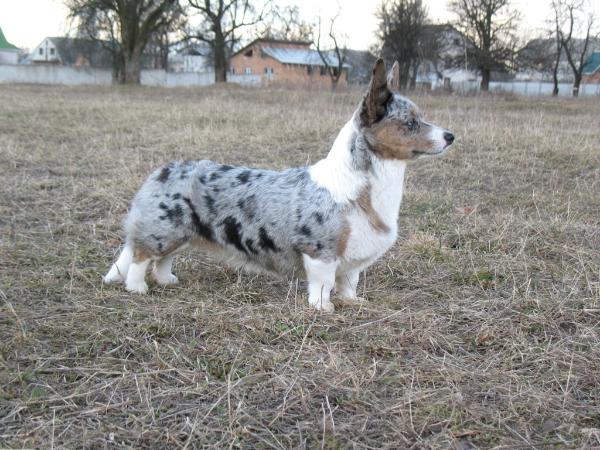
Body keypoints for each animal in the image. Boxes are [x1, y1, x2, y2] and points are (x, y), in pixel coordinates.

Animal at [104, 59, 454, 312]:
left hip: (181, 235)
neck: (362, 186)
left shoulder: (353, 256)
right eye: (410, 123)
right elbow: (324, 284)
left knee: (162, 260)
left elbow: (349, 282)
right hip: (162, 231)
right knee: (140, 258)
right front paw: (323, 309)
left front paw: (353, 302)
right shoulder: (320, 252)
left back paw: (167, 281)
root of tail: (159, 172)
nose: (450, 136)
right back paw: (138, 288)